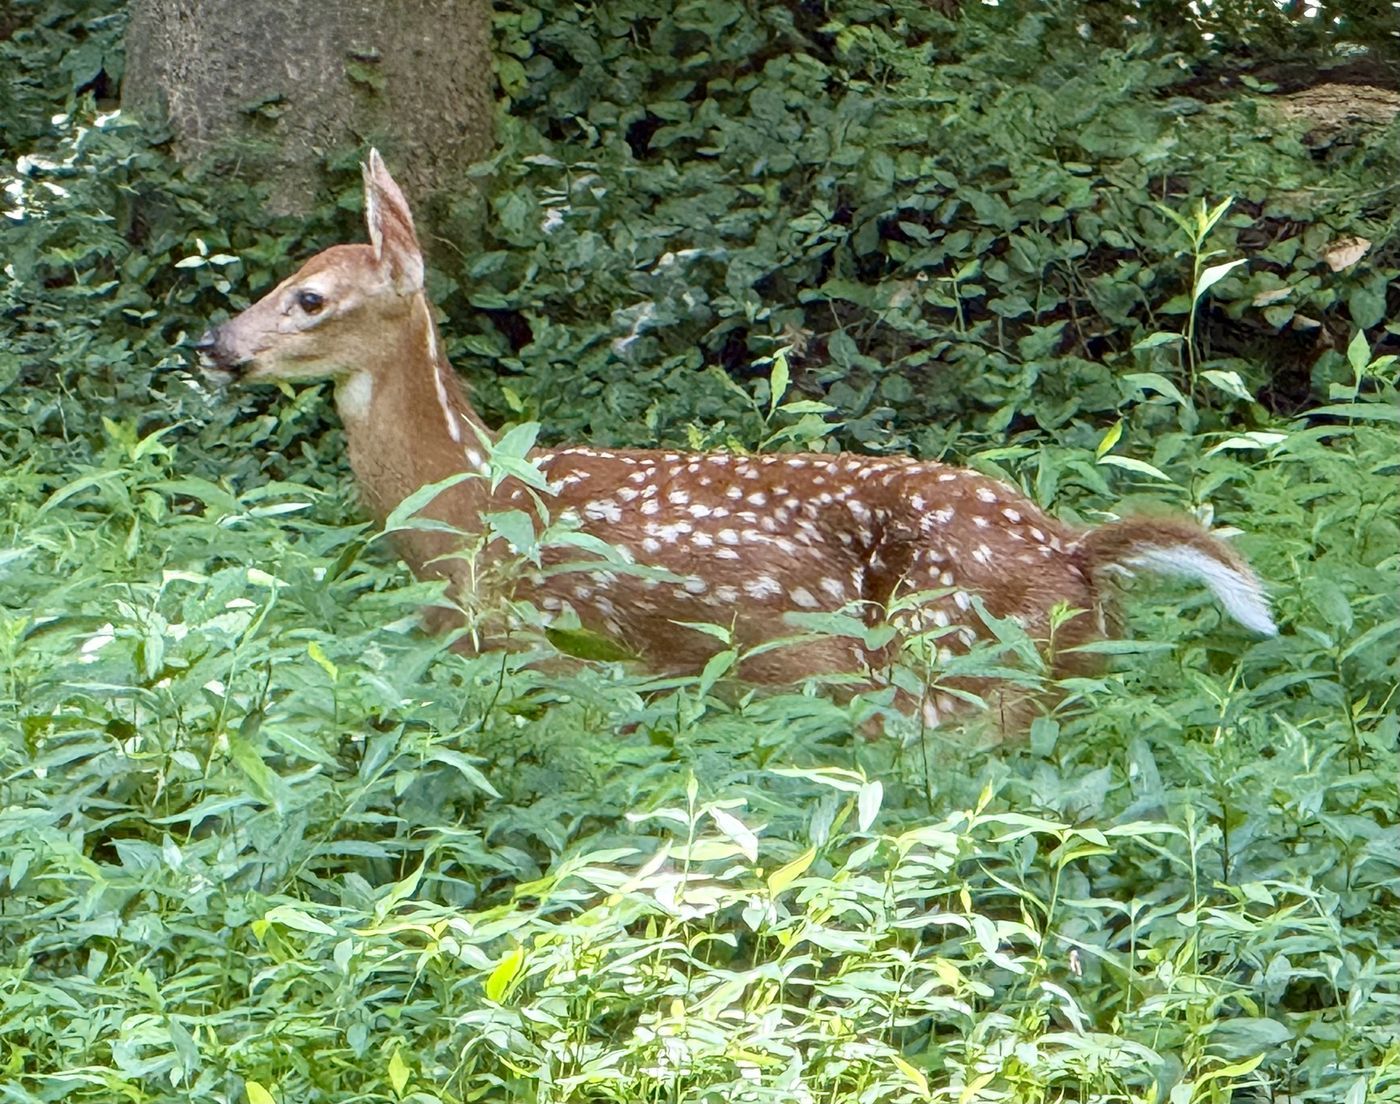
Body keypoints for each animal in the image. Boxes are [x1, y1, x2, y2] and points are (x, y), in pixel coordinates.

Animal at [195, 150, 1277, 735]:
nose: (214, 345)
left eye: (309, 297)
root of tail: (1078, 553)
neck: (466, 497)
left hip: (942, 670)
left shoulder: (556, 650)